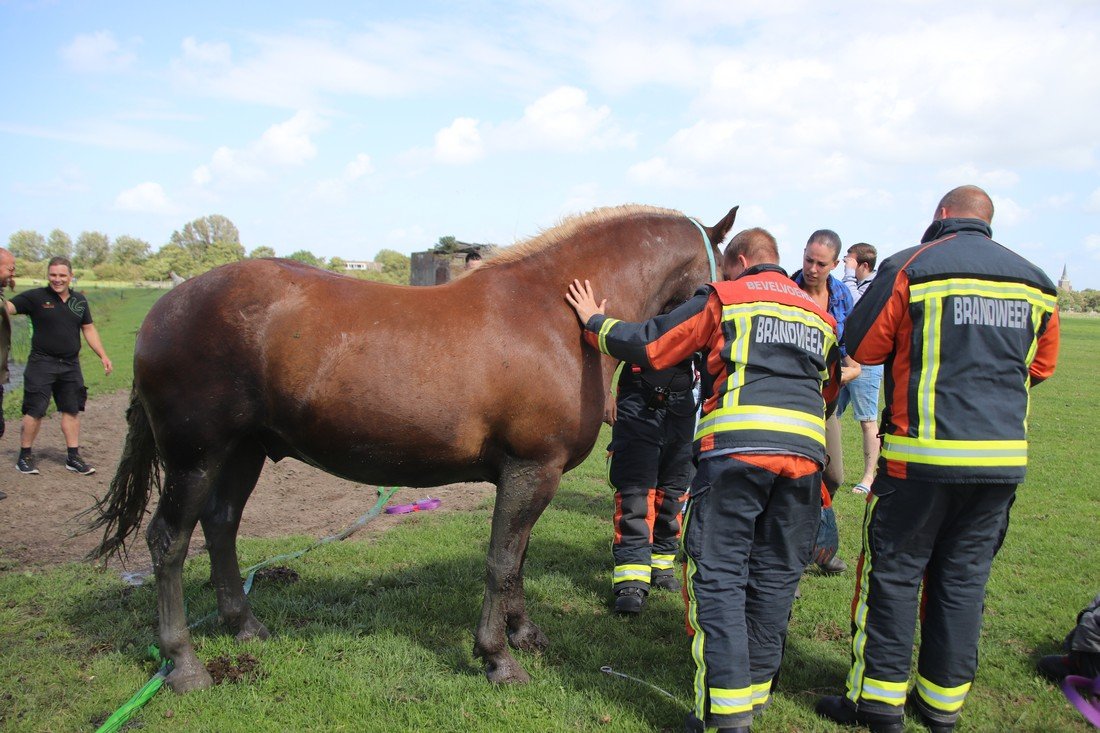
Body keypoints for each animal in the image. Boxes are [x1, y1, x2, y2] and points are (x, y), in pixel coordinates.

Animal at [90, 201, 734, 691]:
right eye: (725, 268)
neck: (557, 315)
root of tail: (164, 309)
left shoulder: (532, 476)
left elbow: (518, 558)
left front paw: (524, 634)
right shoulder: (531, 470)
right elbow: (501, 562)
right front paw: (498, 658)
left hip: (243, 450)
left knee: (221, 523)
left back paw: (243, 624)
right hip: (195, 455)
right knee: (169, 542)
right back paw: (184, 664)